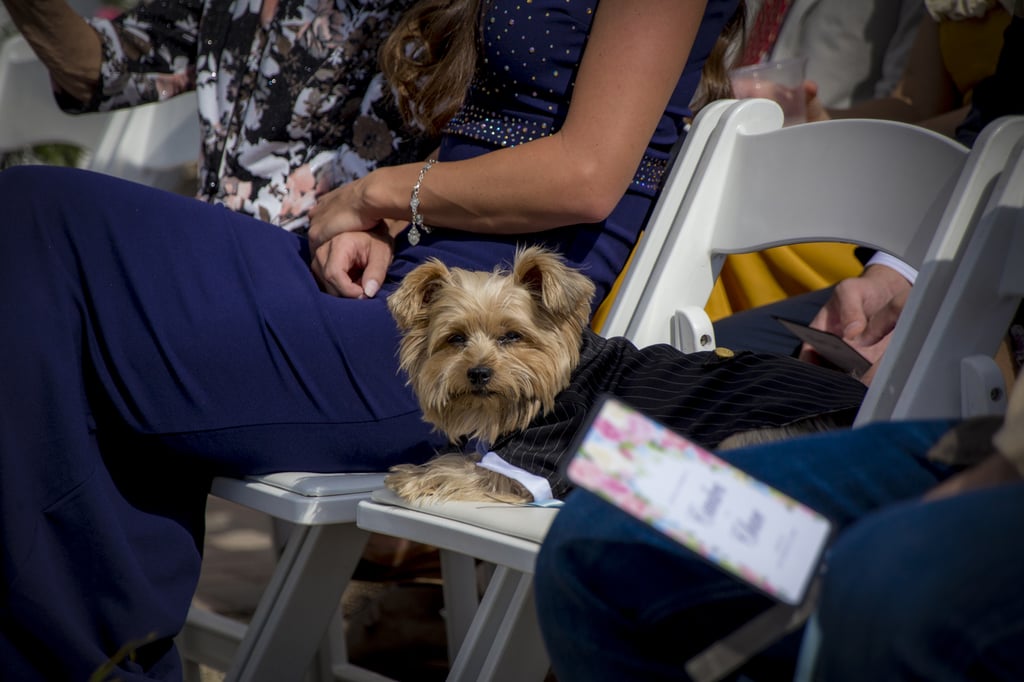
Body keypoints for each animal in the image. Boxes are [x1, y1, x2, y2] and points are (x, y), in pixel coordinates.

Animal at [387, 246, 868, 501]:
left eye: (512, 336)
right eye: (455, 339)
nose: (479, 373)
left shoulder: (543, 455)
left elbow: (466, 467)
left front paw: (414, 476)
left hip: (745, 440)